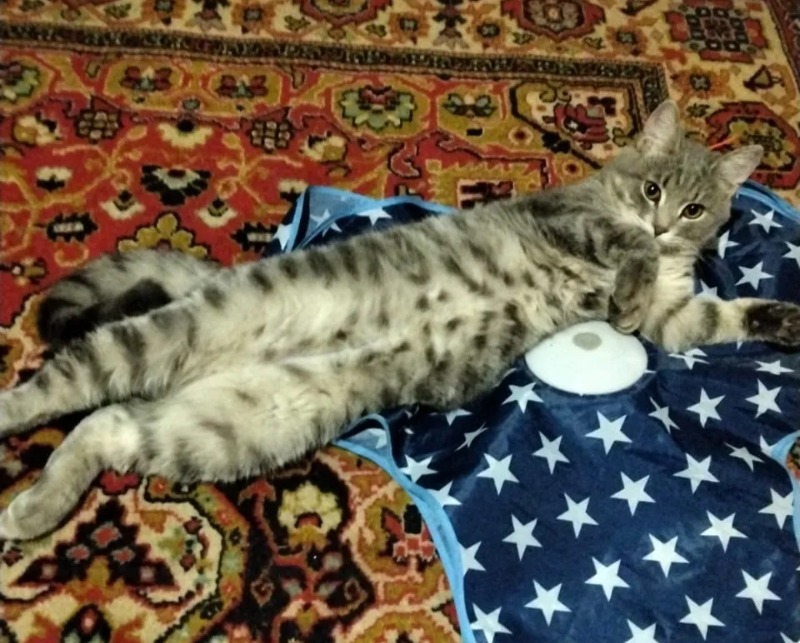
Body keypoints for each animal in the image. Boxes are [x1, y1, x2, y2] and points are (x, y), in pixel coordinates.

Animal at [1, 100, 798, 541]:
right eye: (652, 189)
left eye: (694, 208)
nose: (664, 224)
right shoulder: (573, 220)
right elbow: (624, 251)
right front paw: (627, 284)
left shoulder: (676, 312)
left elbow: (717, 316)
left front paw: (781, 316)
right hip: (159, 343)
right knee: (58, 389)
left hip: (234, 424)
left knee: (104, 425)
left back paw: (35, 510)